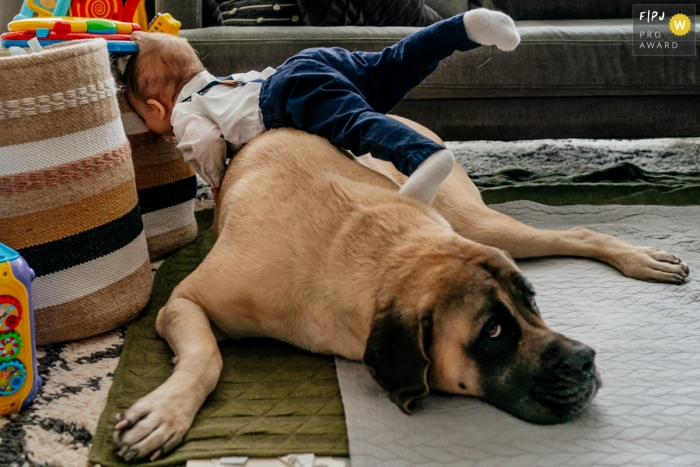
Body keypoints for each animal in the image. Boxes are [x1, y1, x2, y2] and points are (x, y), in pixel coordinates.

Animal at [112, 118, 688, 464]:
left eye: (533, 303)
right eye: (494, 332)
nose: (587, 359)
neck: (371, 250)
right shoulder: (181, 303)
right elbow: (206, 357)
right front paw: (165, 412)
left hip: (479, 224)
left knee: (578, 233)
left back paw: (641, 259)